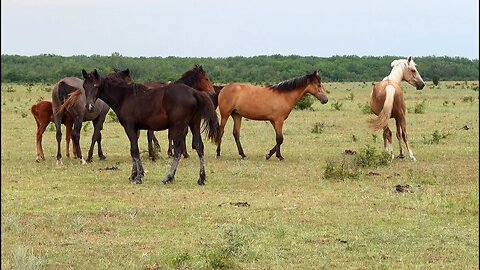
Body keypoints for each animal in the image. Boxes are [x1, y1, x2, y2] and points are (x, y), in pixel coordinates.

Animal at [81, 68, 220, 185]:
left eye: (96, 86)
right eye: (84, 86)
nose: (89, 107)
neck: (125, 97)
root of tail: (193, 92)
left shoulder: (129, 127)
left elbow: (135, 150)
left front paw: (138, 177)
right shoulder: (135, 129)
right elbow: (133, 149)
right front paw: (134, 175)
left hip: (178, 127)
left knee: (178, 150)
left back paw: (168, 177)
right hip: (194, 125)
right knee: (199, 146)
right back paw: (201, 178)